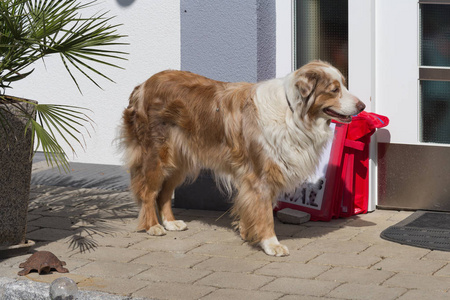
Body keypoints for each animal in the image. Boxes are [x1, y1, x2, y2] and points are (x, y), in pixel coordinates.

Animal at [121, 60, 364, 255]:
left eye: (344, 85)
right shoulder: (260, 175)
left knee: (164, 192)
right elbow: (265, 212)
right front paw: (271, 244)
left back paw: (170, 223)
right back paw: (152, 226)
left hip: (180, 160)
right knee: (149, 191)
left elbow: (256, 208)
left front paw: (249, 233)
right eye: (334, 89)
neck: (292, 113)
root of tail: (143, 85)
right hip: (158, 156)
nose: (362, 106)